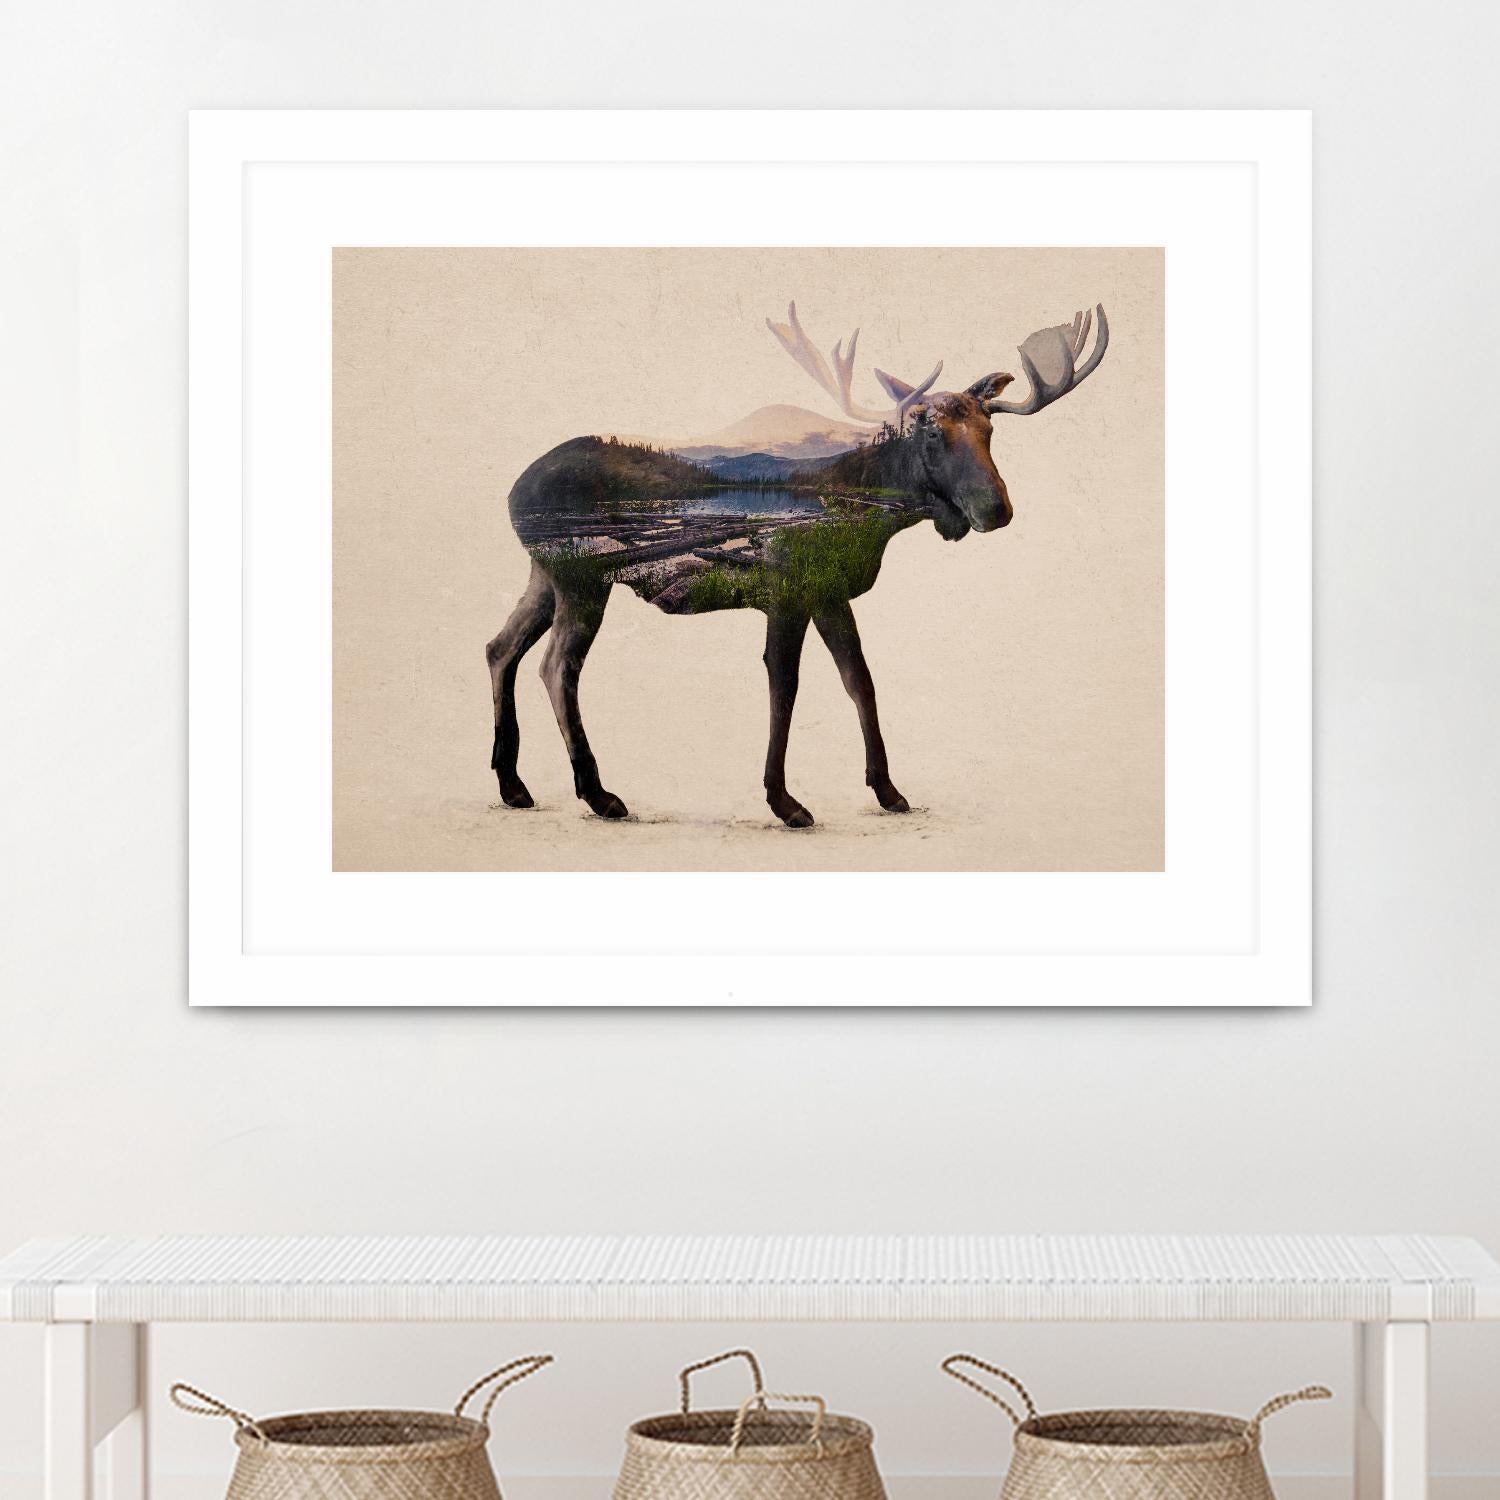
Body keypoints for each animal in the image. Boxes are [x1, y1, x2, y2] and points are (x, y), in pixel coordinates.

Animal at [487, 301, 1110, 827]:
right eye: (931, 431)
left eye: (989, 428)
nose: (996, 508)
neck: (872, 517)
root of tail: (513, 489)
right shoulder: (787, 593)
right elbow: (784, 686)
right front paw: (784, 801)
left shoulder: (830, 593)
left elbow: (861, 681)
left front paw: (889, 790)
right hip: (580, 577)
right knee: (556, 667)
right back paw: (599, 794)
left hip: (544, 575)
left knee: (500, 648)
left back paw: (514, 786)